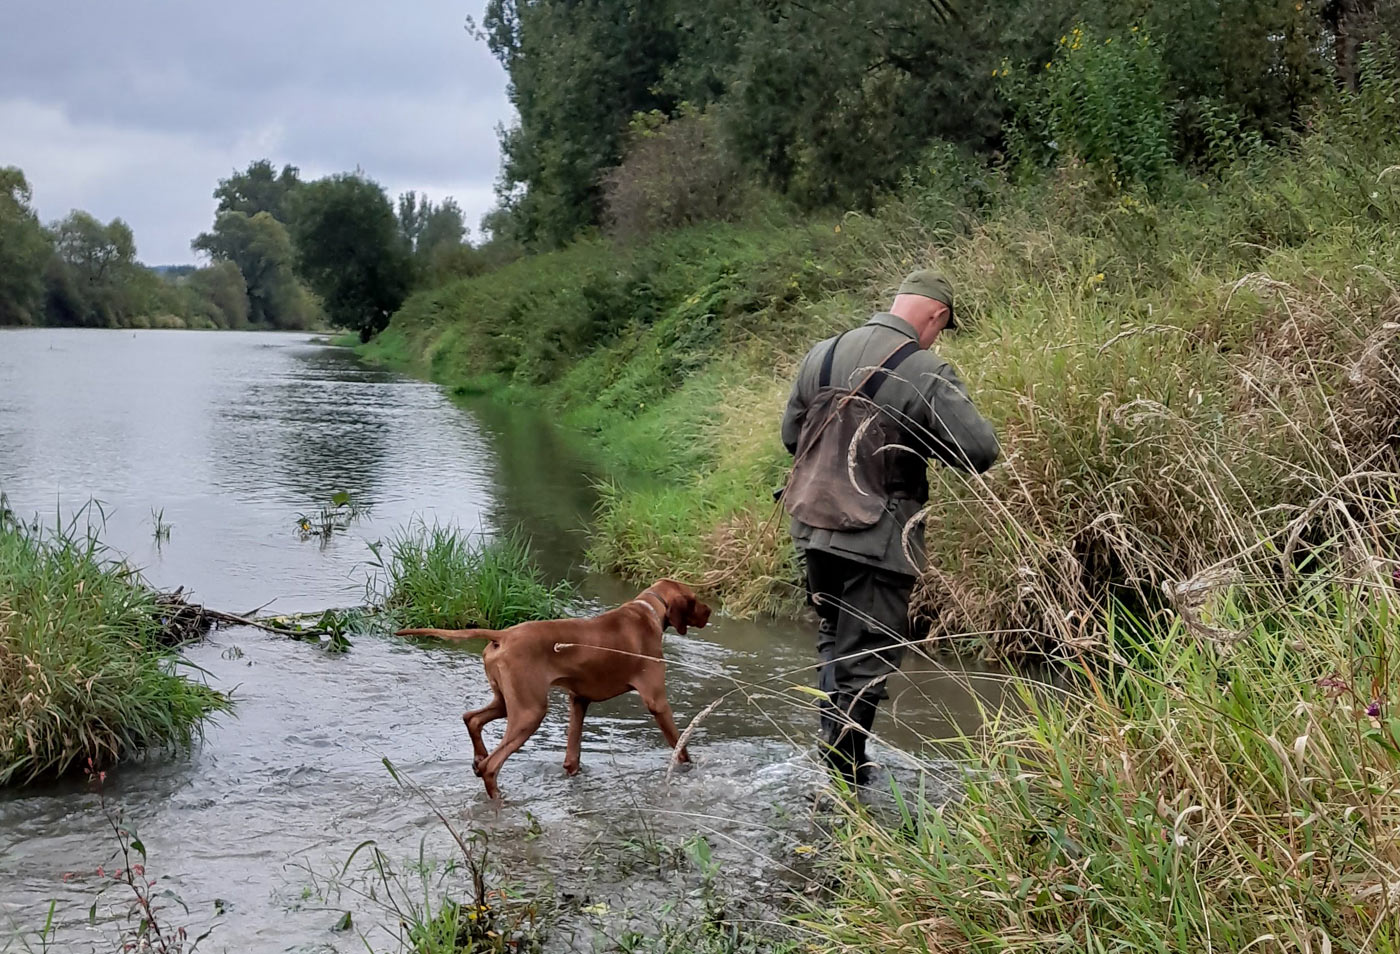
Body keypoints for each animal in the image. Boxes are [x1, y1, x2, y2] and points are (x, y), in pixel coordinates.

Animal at [394, 579, 711, 795]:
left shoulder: (578, 700)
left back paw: (478, 757)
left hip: (508, 703)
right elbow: (680, 745)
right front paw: (688, 767)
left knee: (471, 718)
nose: (710, 611)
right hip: (530, 712)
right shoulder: (656, 701)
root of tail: (503, 635)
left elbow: (572, 756)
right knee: (492, 766)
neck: (647, 610)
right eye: (695, 599)